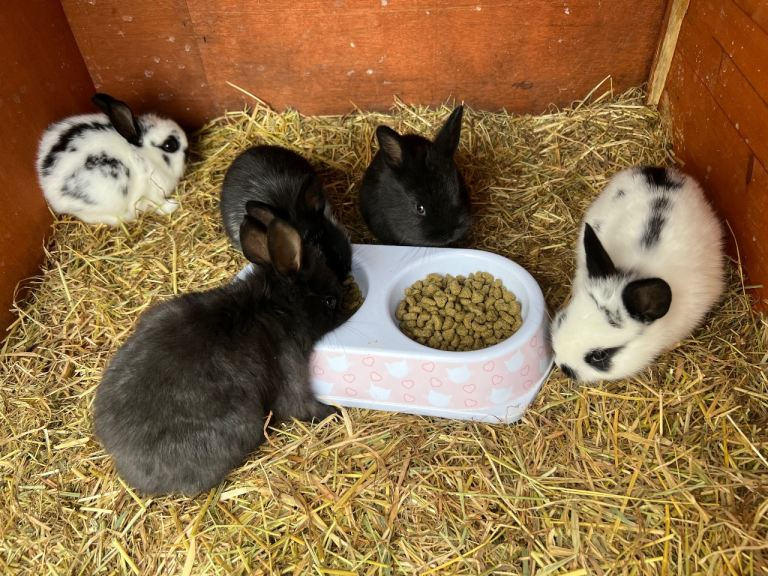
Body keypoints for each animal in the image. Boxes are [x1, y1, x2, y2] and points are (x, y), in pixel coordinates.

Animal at [36, 93, 188, 226]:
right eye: (169, 145)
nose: (187, 151)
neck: (143, 154)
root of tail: (49, 191)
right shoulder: (152, 191)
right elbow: (159, 203)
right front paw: (173, 206)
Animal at [93, 206, 345, 495]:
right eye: (329, 301)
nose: (346, 304)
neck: (276, 306)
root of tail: (122, 458)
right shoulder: (290, 369)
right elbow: (301, 405)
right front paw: (334, 414)